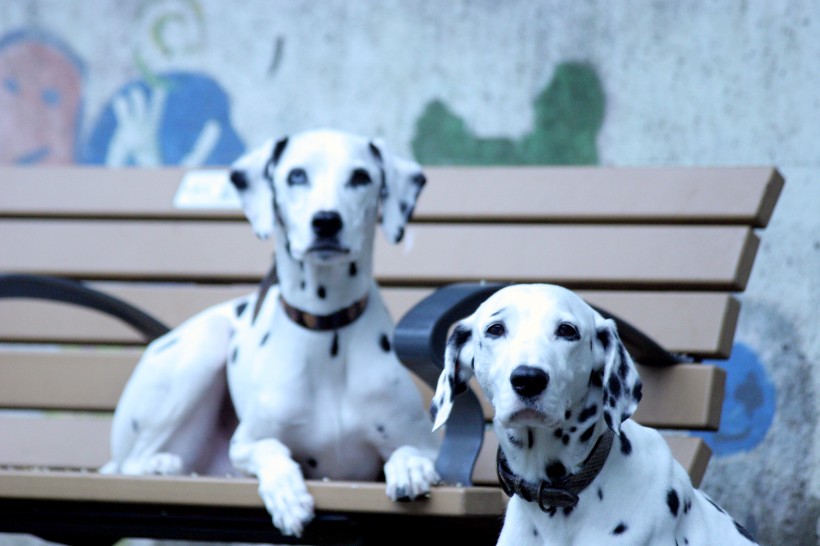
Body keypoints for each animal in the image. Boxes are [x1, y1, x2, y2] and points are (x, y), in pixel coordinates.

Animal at [105, 129, 446, 536]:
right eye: (296, 175)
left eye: (361, 176)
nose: (326, 221)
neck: (327, 332)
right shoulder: (245, 443)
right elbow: (272, 449)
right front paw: (286, 494)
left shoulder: (424, 443)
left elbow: (410, 451)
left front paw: (408, 467)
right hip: (202, 349)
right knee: (130, 462)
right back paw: (160, 464)